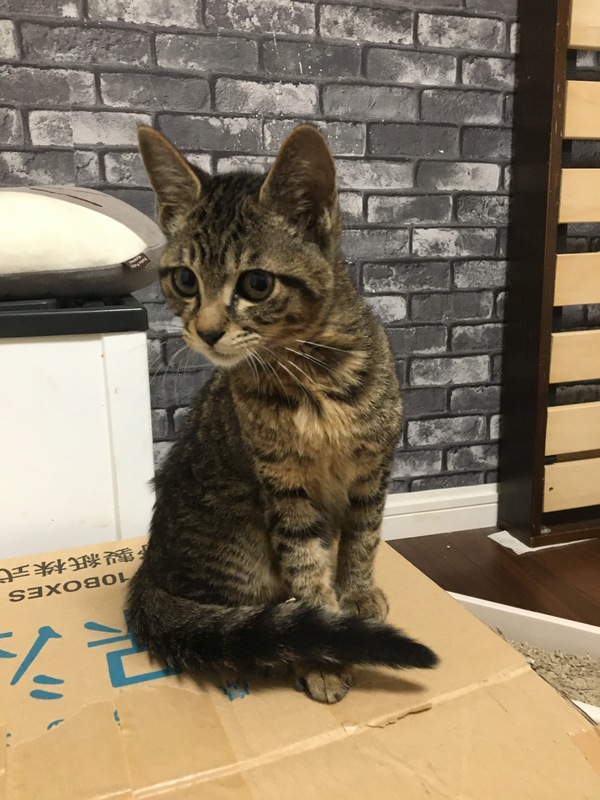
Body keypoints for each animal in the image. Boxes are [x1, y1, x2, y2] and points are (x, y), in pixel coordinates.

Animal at [127, 124, 438, 703]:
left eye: (256, 284)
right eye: (185, 280)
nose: (206, 331)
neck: (314, 379)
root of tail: (147, 572)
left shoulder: (374, 470)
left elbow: (363, 538)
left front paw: (357, 593)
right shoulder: (284, 488)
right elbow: (306, 568)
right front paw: (325, 653)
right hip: (239, 544)